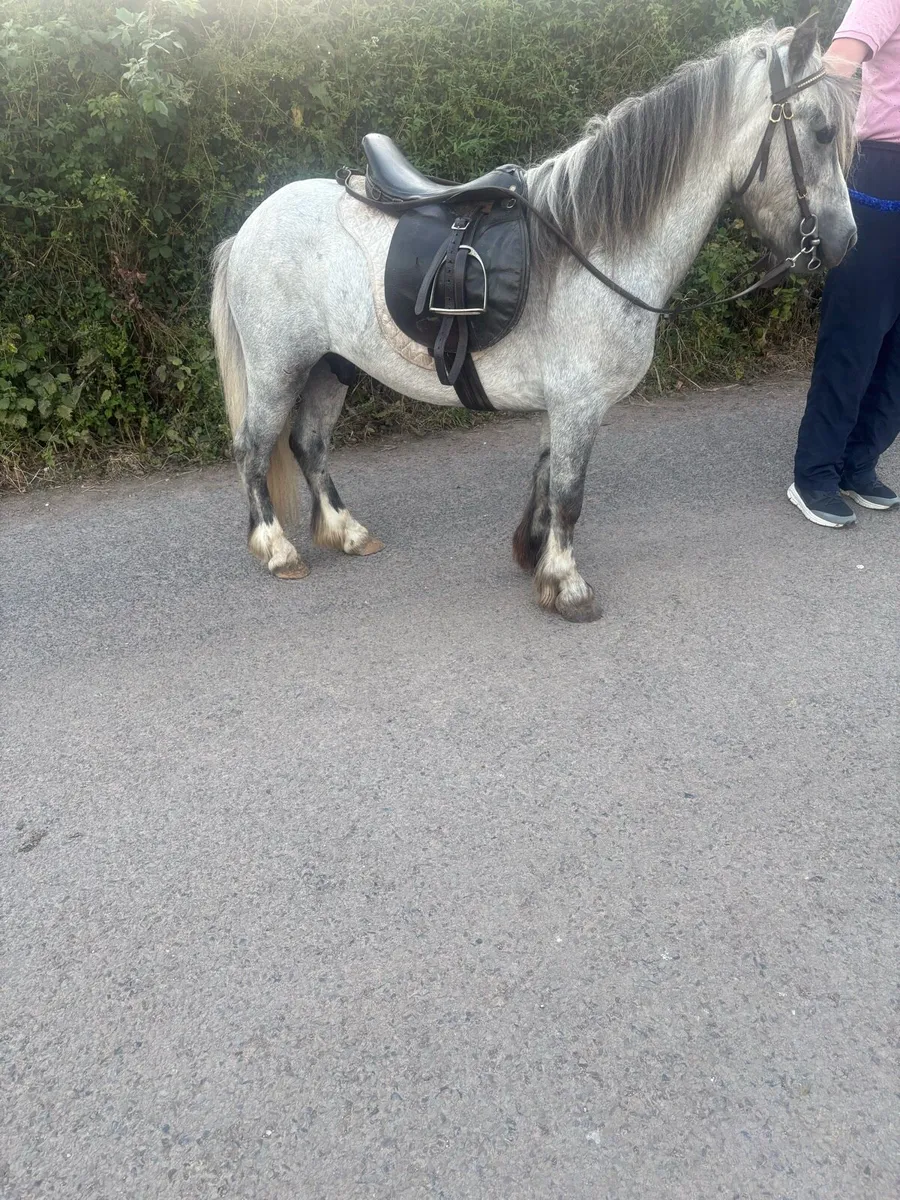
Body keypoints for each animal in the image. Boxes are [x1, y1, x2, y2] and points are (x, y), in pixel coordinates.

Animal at [210, 17, 857, 622]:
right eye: (822, 131)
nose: (844, 241)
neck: (593, 247)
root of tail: (251, 225)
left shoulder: (562, 405)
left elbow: (546, 480)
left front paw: (534, 554)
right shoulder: (579, 404)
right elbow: (569, 493)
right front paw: (566, 585)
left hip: (330, 365)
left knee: (309, 444)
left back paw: (346, 531)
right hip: (280, 367)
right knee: (254, 447)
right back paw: (277, 549)